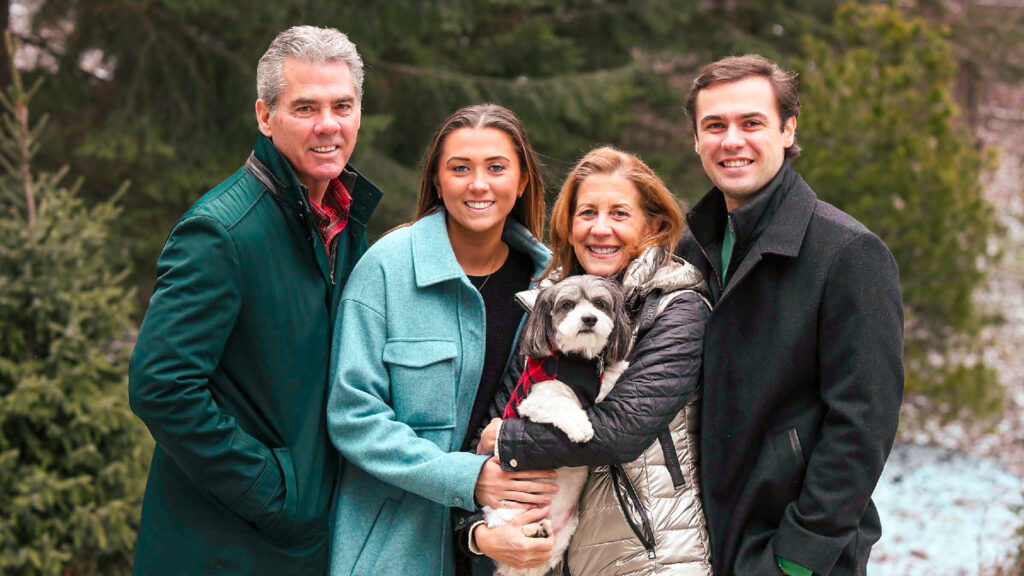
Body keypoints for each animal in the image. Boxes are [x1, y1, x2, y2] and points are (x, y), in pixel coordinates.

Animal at [481, 272, 630, 573]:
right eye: (567, 305)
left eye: (599, 304)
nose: (589, 319)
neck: (577, 360)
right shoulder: (537, 401)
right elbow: (567, 408)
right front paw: (582, 429)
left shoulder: (596, 392)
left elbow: (605, 384)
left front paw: (617, 367)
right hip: (507, 507)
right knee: (504, 524)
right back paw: (532, 530)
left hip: (565, 531)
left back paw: (542, 531)